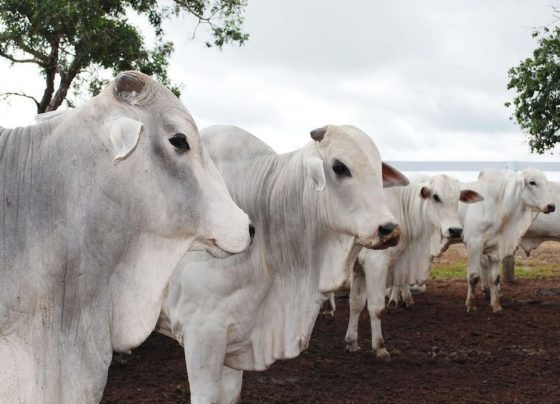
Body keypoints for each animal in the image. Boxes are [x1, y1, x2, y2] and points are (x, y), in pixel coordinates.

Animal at [344, 175, 480, 358]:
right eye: (435, 196)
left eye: (458, 197)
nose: (456, 230)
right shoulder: (375, 263)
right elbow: (376, 307)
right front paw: (380, 347)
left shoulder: (358, 268)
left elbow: (356, 303)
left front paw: (352, 342)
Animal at [460, 167, 556, 312]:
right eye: (532, 182)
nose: (551, 206)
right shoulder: (473, 243)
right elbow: (473, 276)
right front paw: (471, 305)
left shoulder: (496, 246)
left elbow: (495, 278)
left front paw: (496, 306)